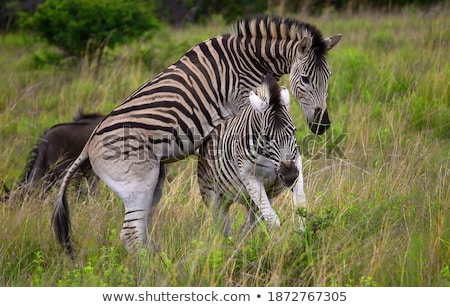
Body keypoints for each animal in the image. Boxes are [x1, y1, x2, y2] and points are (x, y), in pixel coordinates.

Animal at [198, 73, 306, 237]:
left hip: (253, 201)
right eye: (267, 137)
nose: (289, 177)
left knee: (248, 225)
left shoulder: (296, 165)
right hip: (214, 198)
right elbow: (273, 221)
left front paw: (303, 234)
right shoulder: (250, 177)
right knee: (224, 230)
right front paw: (276, 241)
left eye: (294, 131)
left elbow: (300, 205)